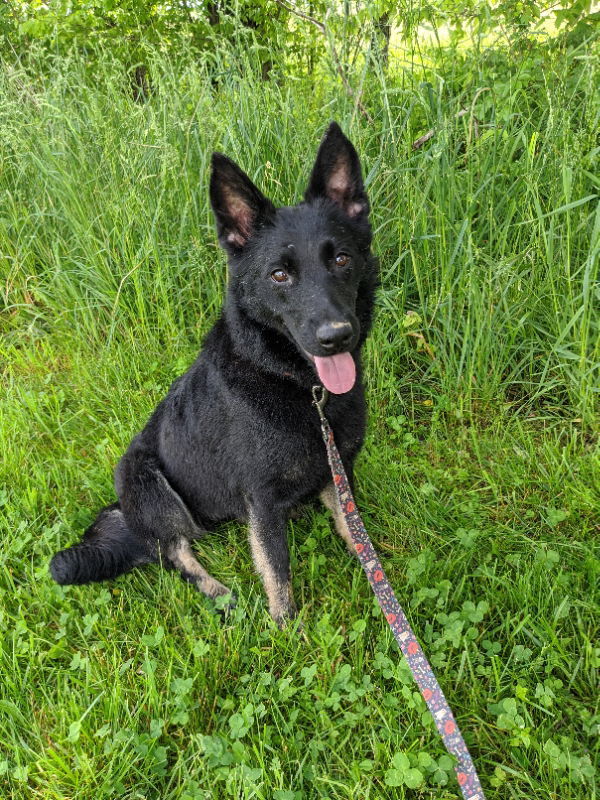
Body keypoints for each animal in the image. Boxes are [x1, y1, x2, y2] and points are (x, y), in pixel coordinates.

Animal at [52, 122, 380, 628]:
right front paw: (289, 633)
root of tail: (127, 518)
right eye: (280, 275)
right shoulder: (261, 501)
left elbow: (353, 529)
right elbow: (277, 574)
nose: (336, 336)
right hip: (150, 483)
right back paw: (221, 594)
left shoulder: (338, 470)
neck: (299, 387)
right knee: (175, 554)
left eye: (342, 259)